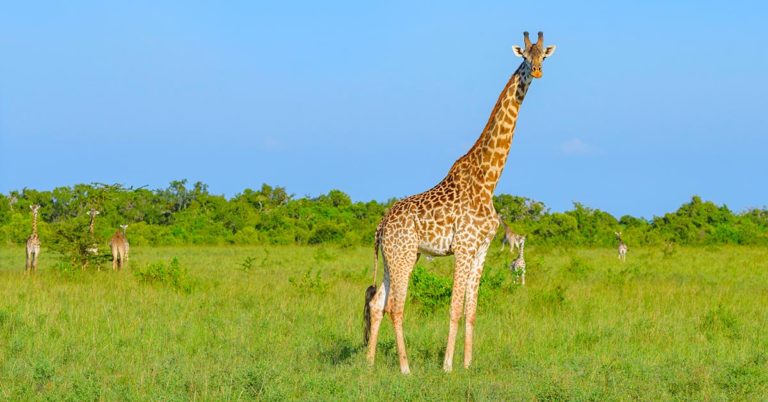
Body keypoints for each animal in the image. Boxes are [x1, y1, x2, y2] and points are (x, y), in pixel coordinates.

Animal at [364, 31, 556, 374]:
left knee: (377, 303)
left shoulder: (481, 250)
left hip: (397, 256)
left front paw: (467, 364)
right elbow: (453, 308)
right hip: (403, 256)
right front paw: (447, 366)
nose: (536, 71)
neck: (488, 180)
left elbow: (472, 310)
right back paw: (405, 368)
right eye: (524, 57)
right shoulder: (464, 247)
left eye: (543, 57)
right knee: (396, 307)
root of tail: (381, 224)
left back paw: (370, 364)